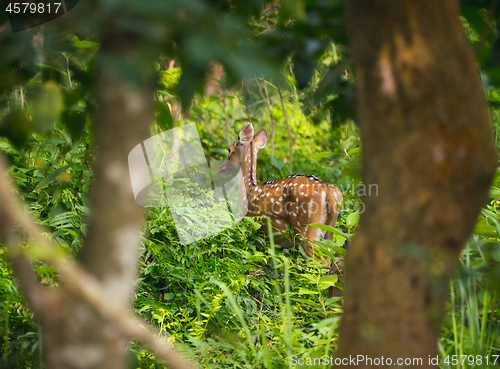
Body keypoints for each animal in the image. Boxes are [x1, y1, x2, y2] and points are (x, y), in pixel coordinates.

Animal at [220, 122, 344, 260]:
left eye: (229, 149)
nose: (221, 168)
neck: (248, 191)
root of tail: (330, 192)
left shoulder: (251, 226)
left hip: (307, 228)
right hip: (330, 231)